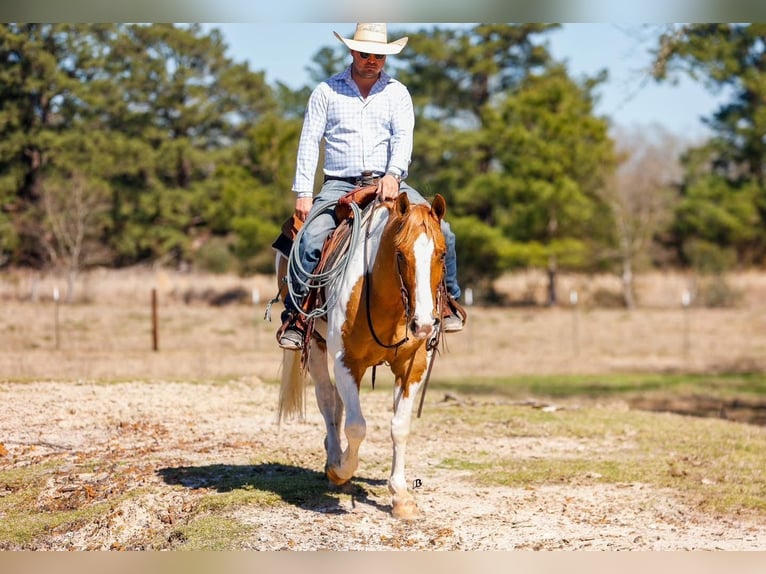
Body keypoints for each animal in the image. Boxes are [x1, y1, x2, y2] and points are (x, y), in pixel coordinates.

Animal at [278, 194, 448, 520]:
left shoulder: (412, 367)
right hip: (316, 345)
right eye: (399, 254)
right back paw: (334, 459)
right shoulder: (346, 361)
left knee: (338, 404)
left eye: (443, 255)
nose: (423, 324)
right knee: (327, 399)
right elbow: (357, 427)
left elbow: (399, 426)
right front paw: (341, 470)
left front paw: (401, 496)